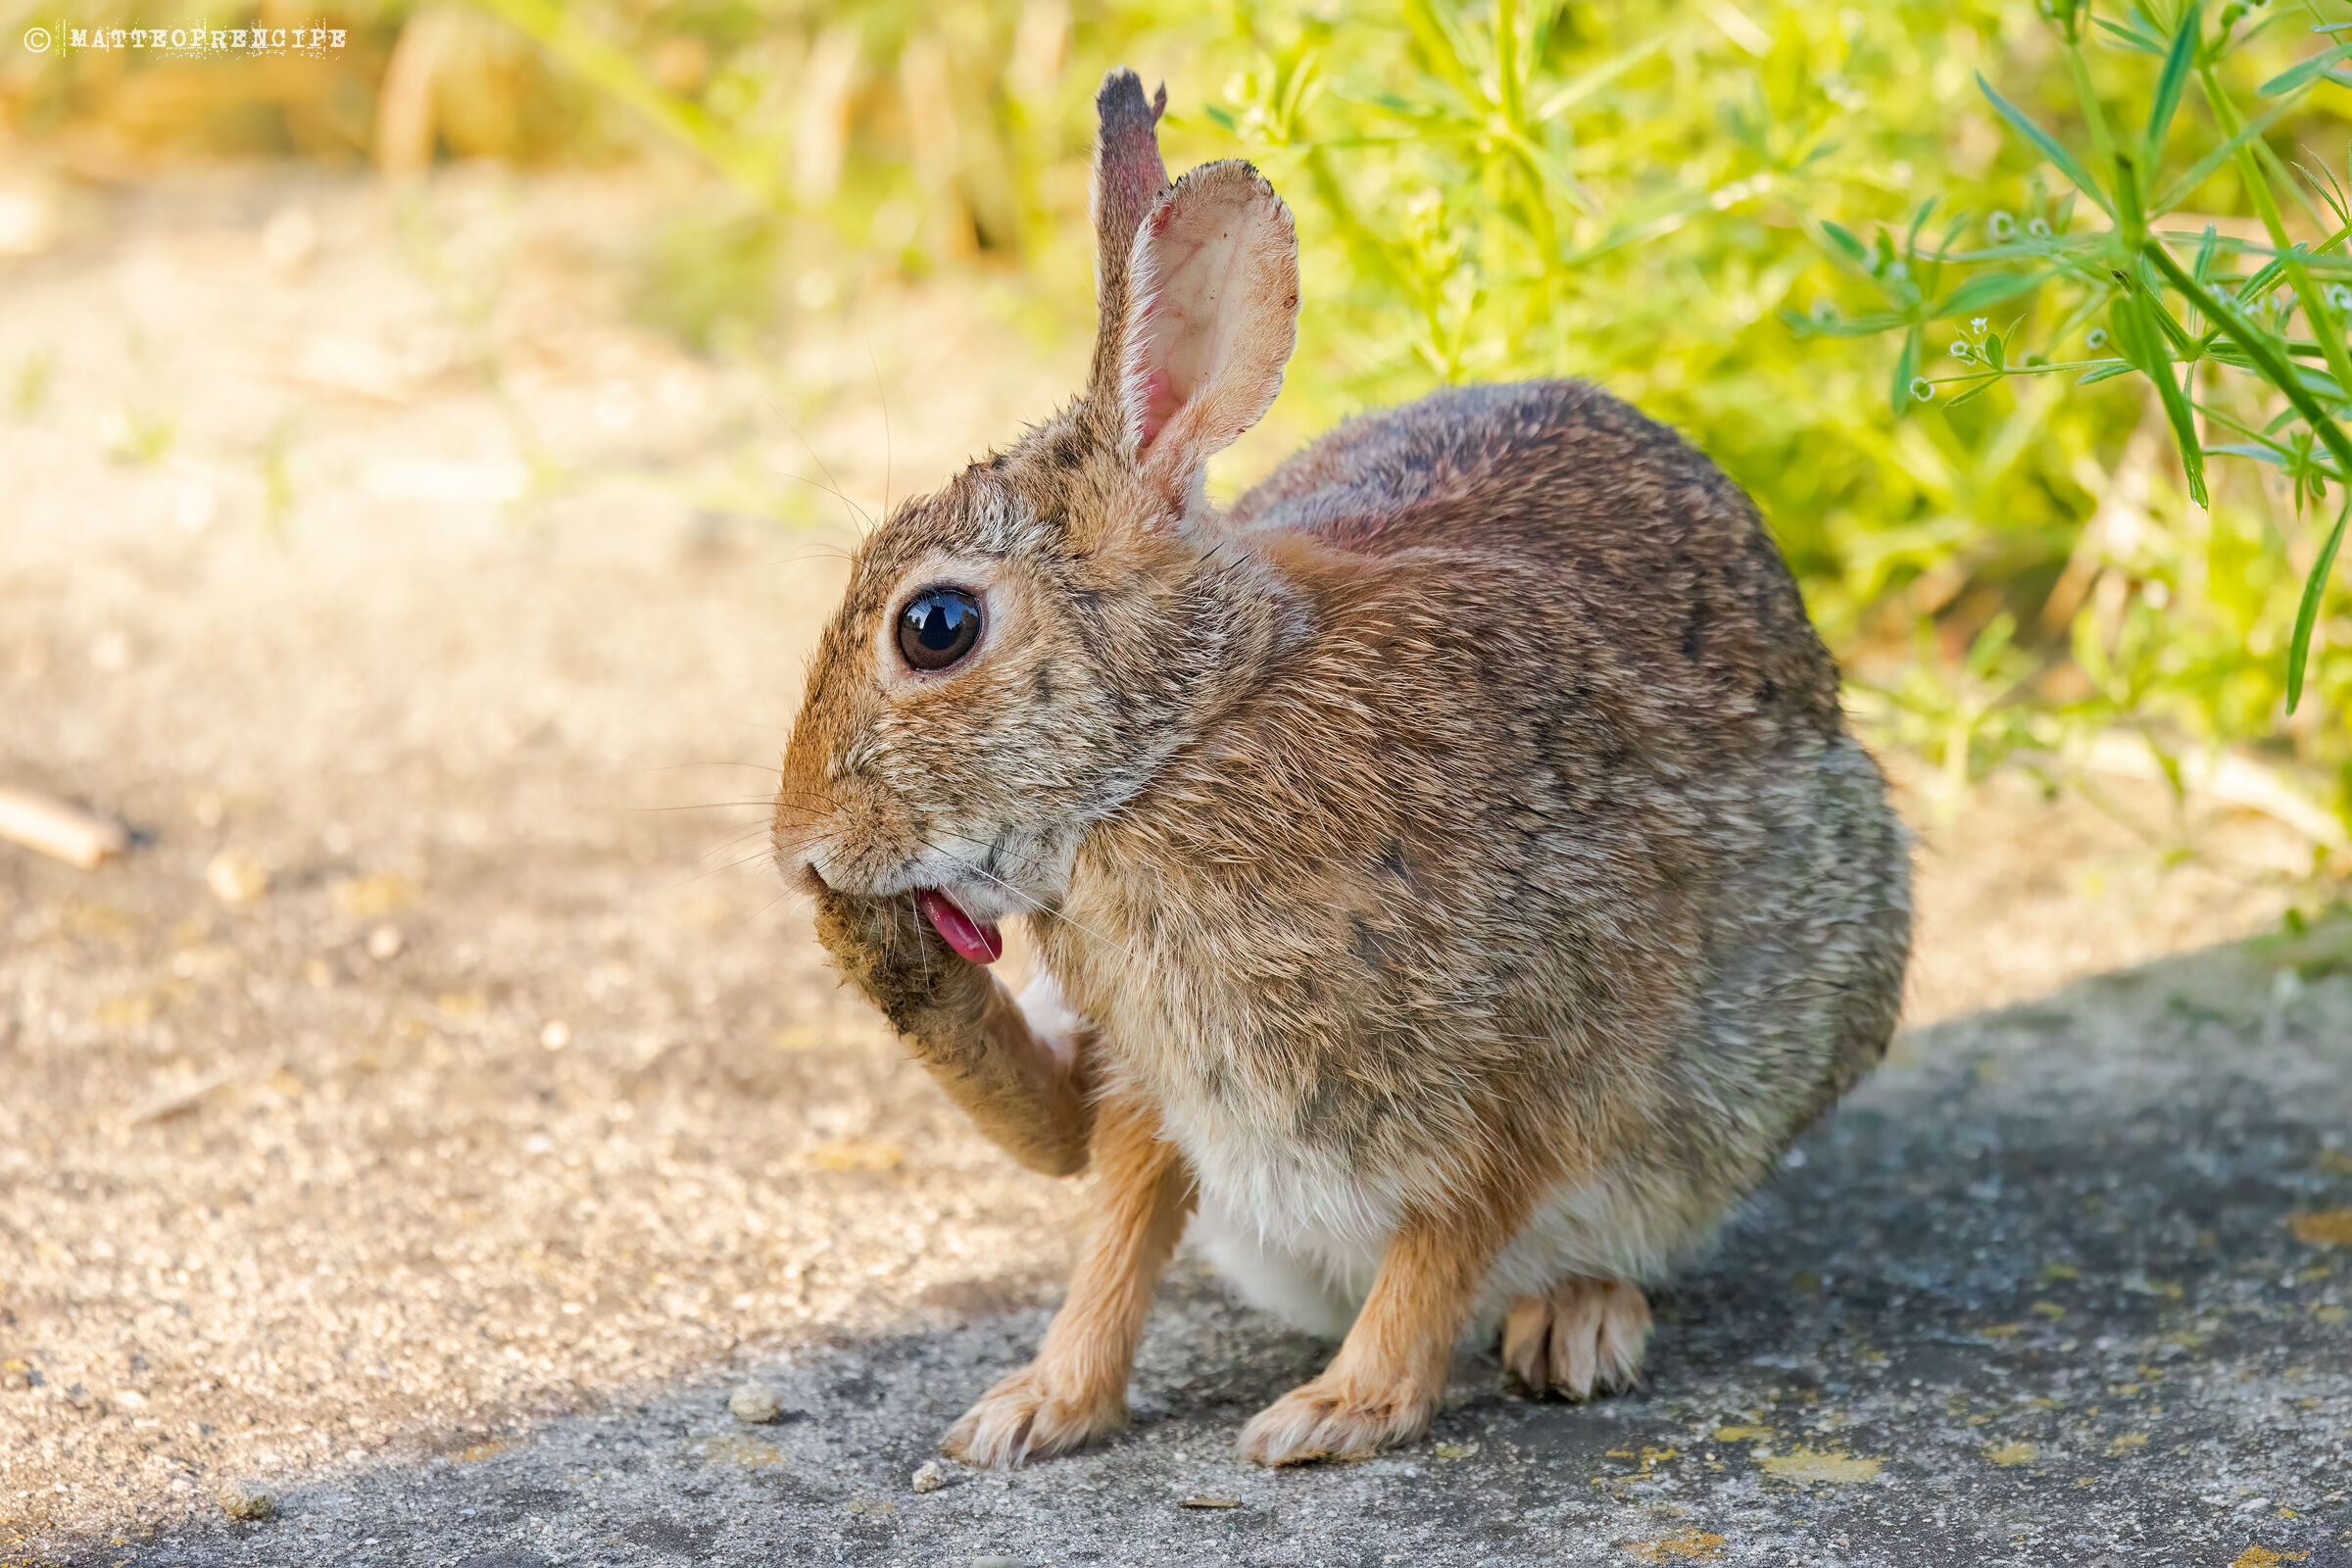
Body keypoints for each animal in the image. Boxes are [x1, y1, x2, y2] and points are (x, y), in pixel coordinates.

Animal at [770, 66, 1912, 1469]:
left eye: (936, 626)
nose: (799, 847)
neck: (1187, 744)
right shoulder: (1163, 1083)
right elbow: (1118, 1230)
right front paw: (1035, 1406)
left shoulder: (1524, 1068)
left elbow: (1443, 1240)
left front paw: (1336, 1413)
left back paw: (1578, 1325)